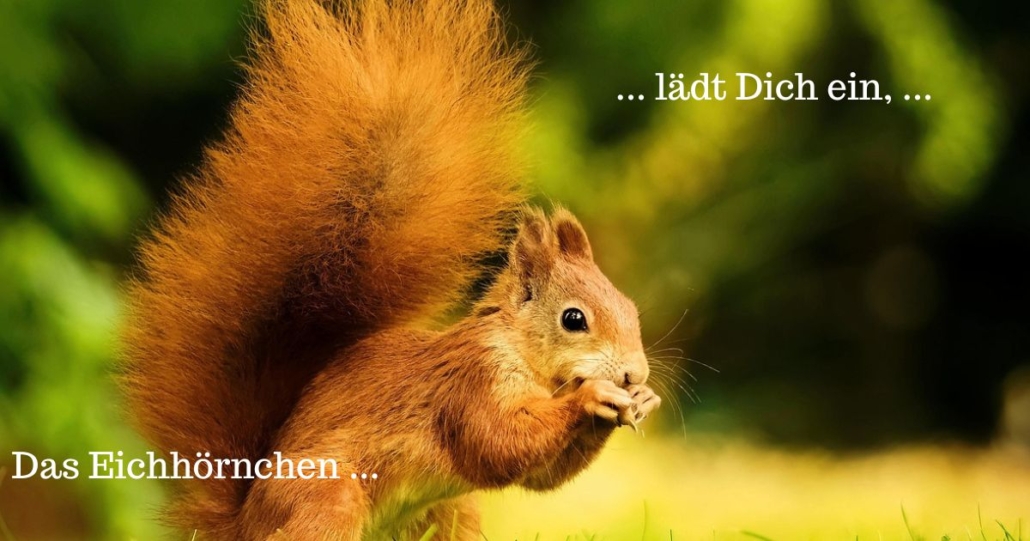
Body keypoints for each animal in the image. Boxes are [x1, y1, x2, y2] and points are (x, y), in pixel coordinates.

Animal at [119, 0, 660, 539]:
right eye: (574, 319)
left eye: (630, 308)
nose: (634, 373)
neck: (525, 358)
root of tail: (244, 522)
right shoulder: (470, 384)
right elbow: (498, 445)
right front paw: (592, 397)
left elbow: (541, 476)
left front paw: (643, 399)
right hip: (325, 500)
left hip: (447, 511)